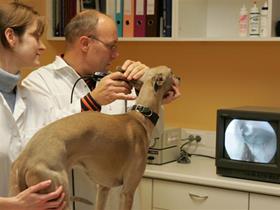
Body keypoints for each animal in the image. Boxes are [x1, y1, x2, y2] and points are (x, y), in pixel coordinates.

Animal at [9, 66, 176, 210]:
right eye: (172, 72)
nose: (179, 77)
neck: (141, 116)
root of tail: (24, 159)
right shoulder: (127, 191)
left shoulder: (103, 187)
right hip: (56, 195)